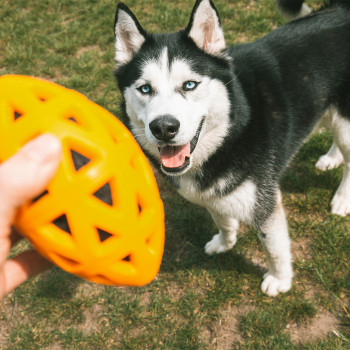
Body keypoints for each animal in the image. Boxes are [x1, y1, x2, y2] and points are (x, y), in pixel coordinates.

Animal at [114, 0, 350, 296]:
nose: (164, 128)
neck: (230, 131)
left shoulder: (265, 203)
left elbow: (275, 247)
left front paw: (280, 279)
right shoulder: (211, 195)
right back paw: (331, 158)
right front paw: (225, 243)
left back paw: (342, 198)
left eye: (189, 84)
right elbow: (223, 221)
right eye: (145, 89)